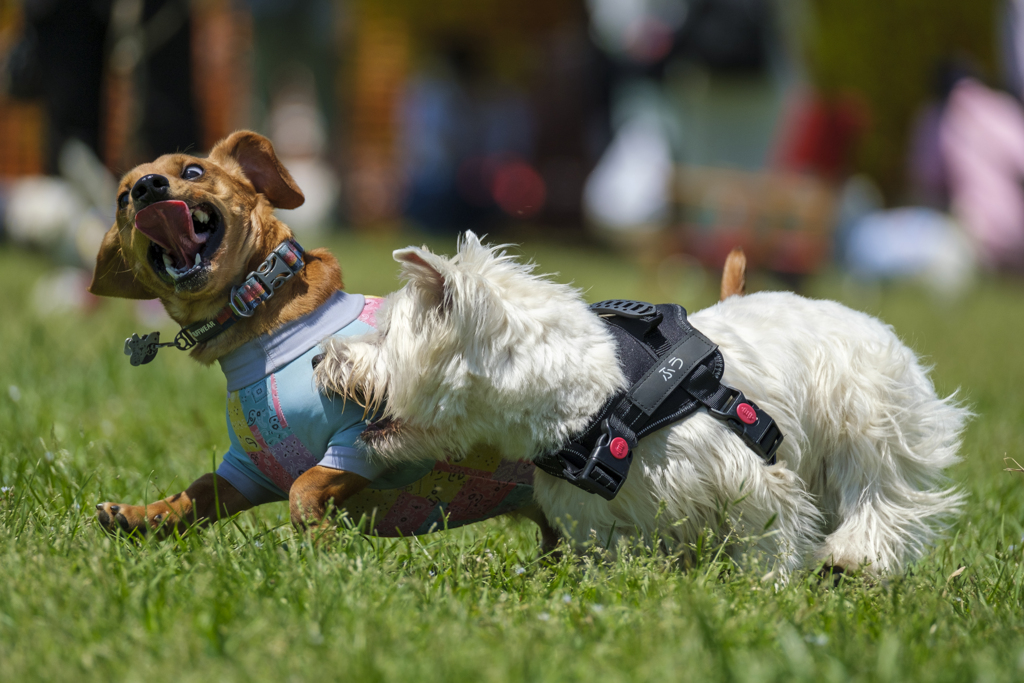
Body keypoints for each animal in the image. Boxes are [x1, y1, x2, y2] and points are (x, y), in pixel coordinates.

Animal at [317, 232, 966, 573]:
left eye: (384, 332)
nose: (325, 357)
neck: (599, 398)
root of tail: (866, 319)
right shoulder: (598, 519)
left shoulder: (749, 477)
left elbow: (768, 538)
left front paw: (767, 588)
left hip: (872, 422)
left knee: (881, 495)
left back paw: (854, 557)